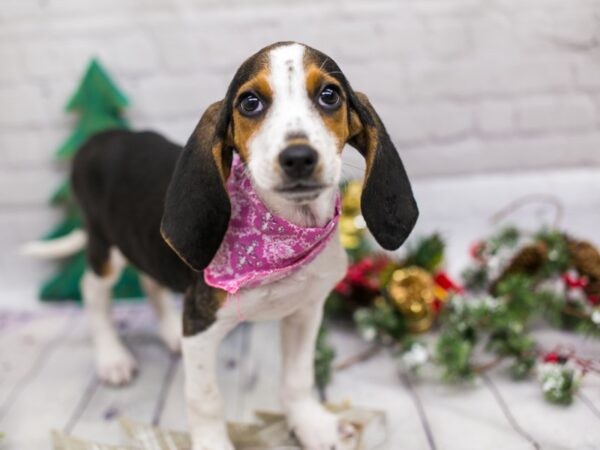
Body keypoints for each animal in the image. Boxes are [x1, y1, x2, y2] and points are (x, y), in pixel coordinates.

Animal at [57, 42, 418, 450]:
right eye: (249, 102)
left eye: (330, 96)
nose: (298, 158)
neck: (283, 235)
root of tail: (99, 139)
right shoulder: (201, 325)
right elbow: (205, 399)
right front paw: (213, 443)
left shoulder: (305, 311)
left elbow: (298, 380)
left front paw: (312, 426)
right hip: (105, 245)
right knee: (92, 289)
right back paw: (111, 358)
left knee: (150, 280)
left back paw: (167, 332)